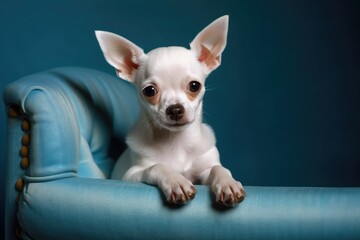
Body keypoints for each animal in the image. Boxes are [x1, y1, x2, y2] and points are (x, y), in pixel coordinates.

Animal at [95, 15, 246, 206]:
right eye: (149, 91)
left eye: (194, 86)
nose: (175, 109)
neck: (177, 143)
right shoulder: (130, 175)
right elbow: (156, 166)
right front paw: (176, 181)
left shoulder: (205, 169)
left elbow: (218, 168)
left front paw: (228, 183)